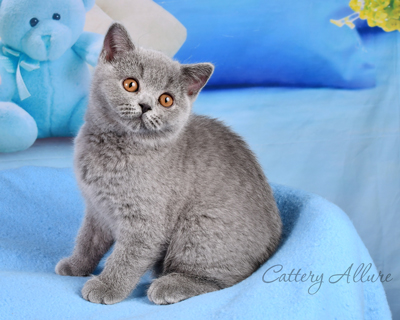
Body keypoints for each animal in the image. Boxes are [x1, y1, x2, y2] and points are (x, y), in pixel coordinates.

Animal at [55, 21, 282, 304]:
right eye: (131, 84)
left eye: (166, 99)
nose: (145, 105)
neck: (114, 148)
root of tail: (273, 245)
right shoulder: (97, 208)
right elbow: (88, 240)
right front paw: (76, 265)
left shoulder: (146, 221)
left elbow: (126, 258)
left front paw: (107, 286)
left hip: (199, 226)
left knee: (227, 280)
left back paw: (168, 285)